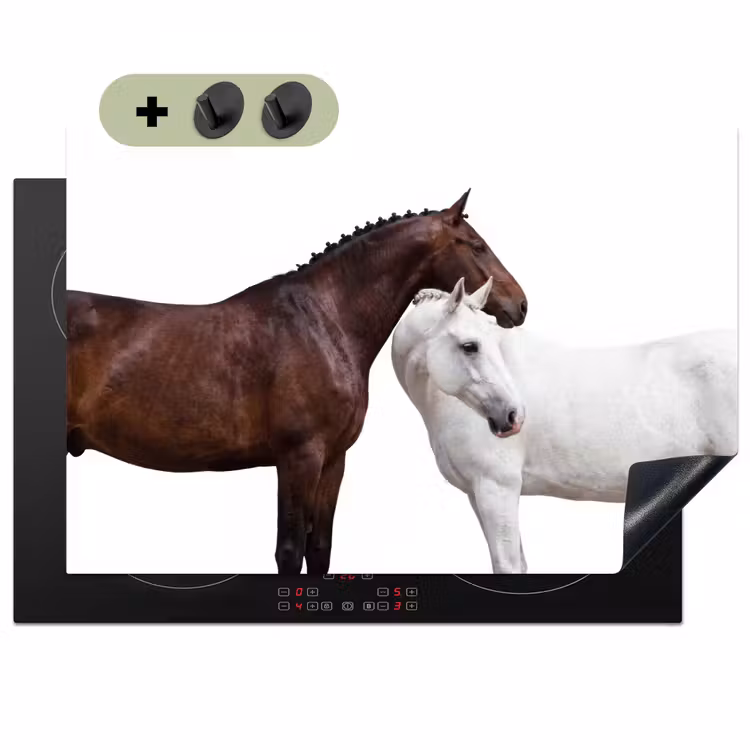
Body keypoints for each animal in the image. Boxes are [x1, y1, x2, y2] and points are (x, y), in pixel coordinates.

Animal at [66, 190, 528, 575]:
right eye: (477, 245)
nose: (520, 304)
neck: (323, 321)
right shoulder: (298, 457)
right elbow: (289, 552)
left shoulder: (333, 460)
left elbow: (319, 550)